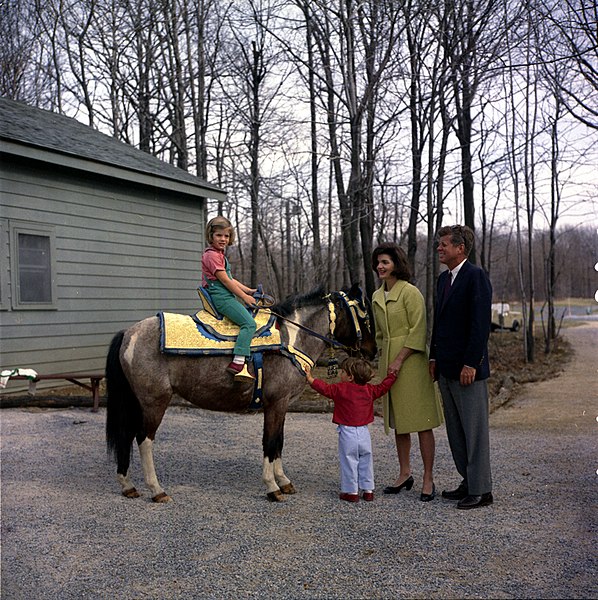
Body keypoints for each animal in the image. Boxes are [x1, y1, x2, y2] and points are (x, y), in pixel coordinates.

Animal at [103, 284, 376, 502]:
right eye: (363, 316)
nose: (372, 351)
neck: (289, 340)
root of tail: (128, 333)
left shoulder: (282, 405)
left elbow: (279, 441)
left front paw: (284, 481)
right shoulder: (275, 403)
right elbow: (270, 442)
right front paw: (272, 487)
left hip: (136, 402)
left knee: (127, 435)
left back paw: (128, 485)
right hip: (154, 402)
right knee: (144, 439)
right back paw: (157, 489)